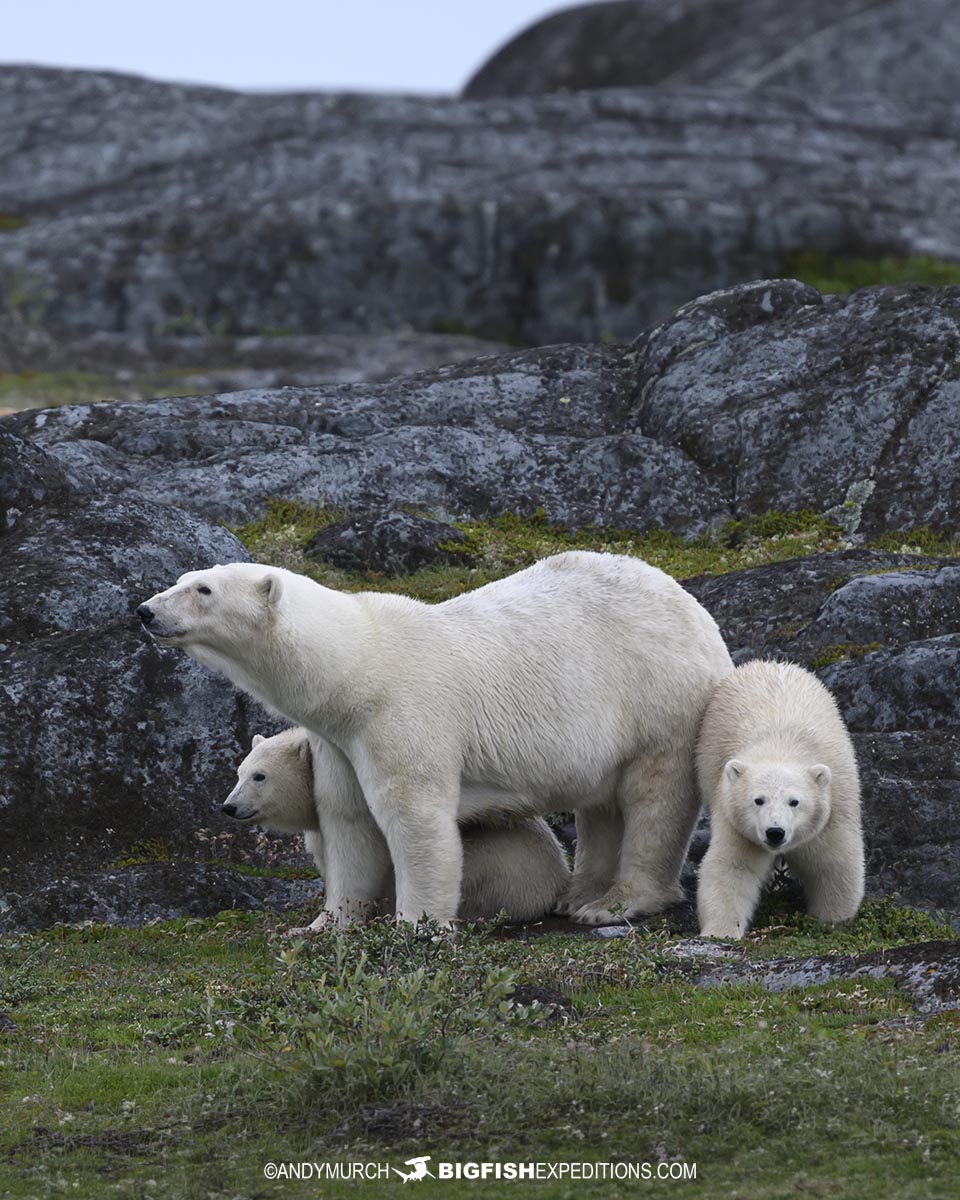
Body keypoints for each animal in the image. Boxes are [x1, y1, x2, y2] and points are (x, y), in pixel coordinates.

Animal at [695, 659, 864, 939]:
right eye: (758, 800)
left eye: (794, 801)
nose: (775, 832)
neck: (782, 744)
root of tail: (769, 662)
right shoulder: (735, 819)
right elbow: (732, 867)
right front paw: (720, 931)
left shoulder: (833, 806)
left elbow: (834, 862)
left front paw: (831, 920)